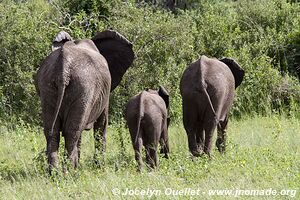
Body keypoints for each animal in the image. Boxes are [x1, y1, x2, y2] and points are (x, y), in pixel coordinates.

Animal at [34, 30, 134, 172]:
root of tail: (63, 68)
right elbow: (102, 124)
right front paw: (100, 168)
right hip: (83, 87)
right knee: (72, 132)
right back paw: (70, 171)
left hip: (47, 85)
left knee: (53, 131)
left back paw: (54, 172)